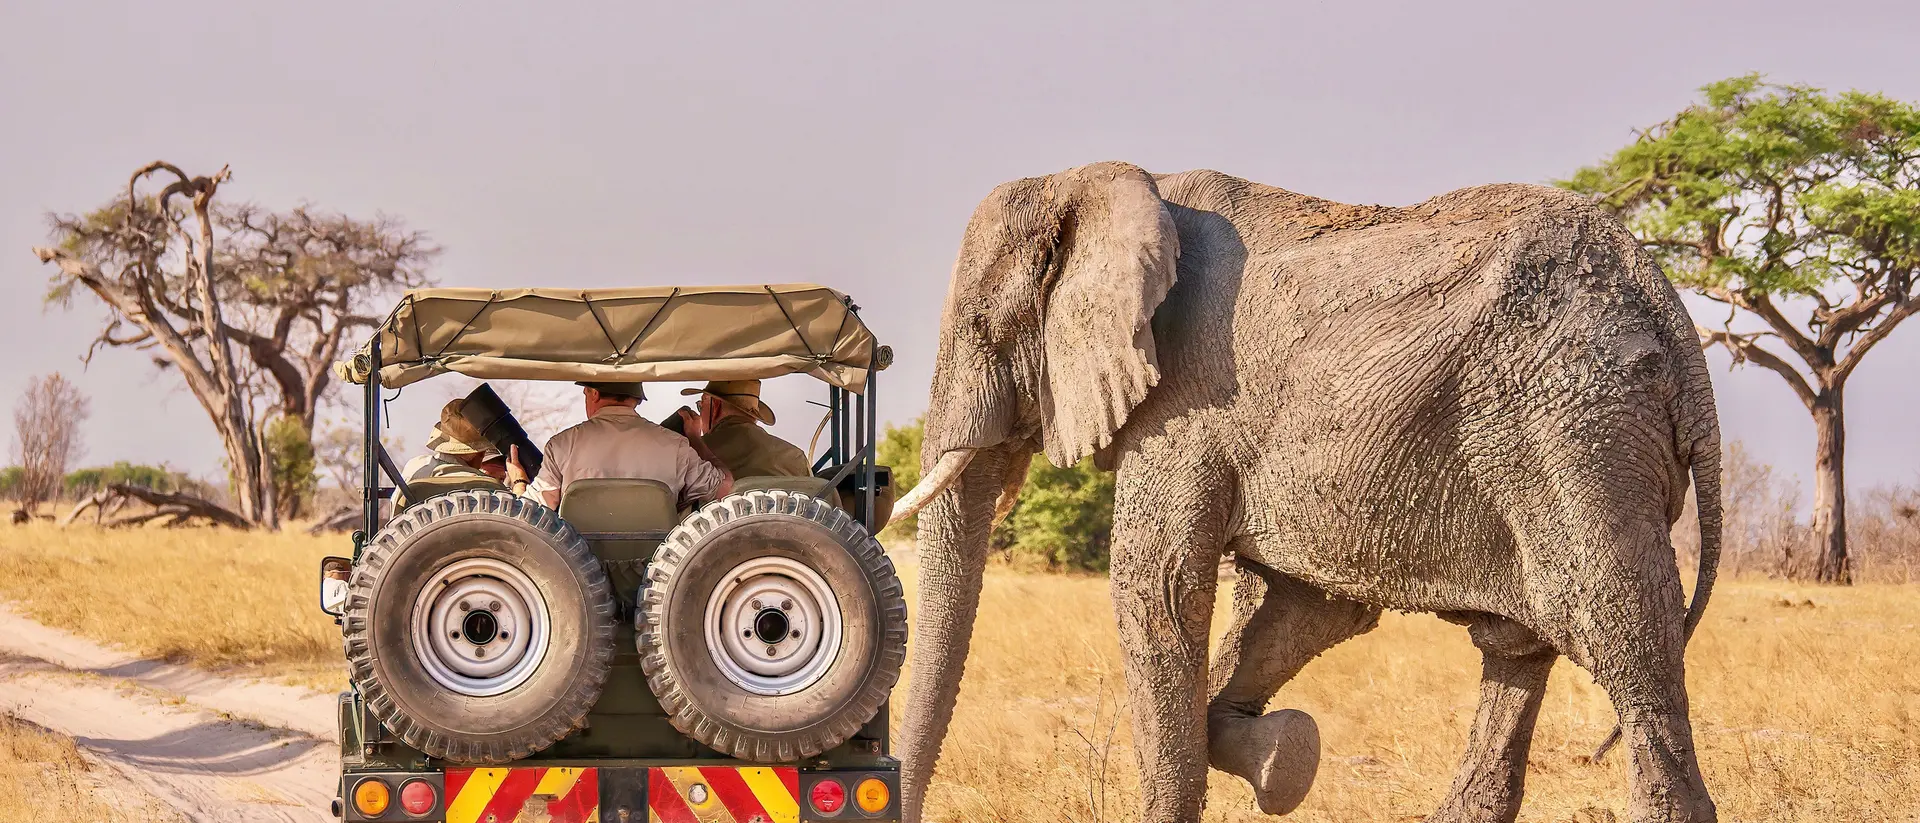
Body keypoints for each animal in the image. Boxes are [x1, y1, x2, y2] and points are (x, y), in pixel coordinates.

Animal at [885, 162, 1722, 823]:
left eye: (985, 325)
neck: (1098, 181)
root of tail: (1672, 316)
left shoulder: (1188, 403)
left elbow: (1158, 588)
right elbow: (1307, 608)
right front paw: (1286, 758)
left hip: (1578, 428)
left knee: (1622, 642)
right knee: (1517, 647)